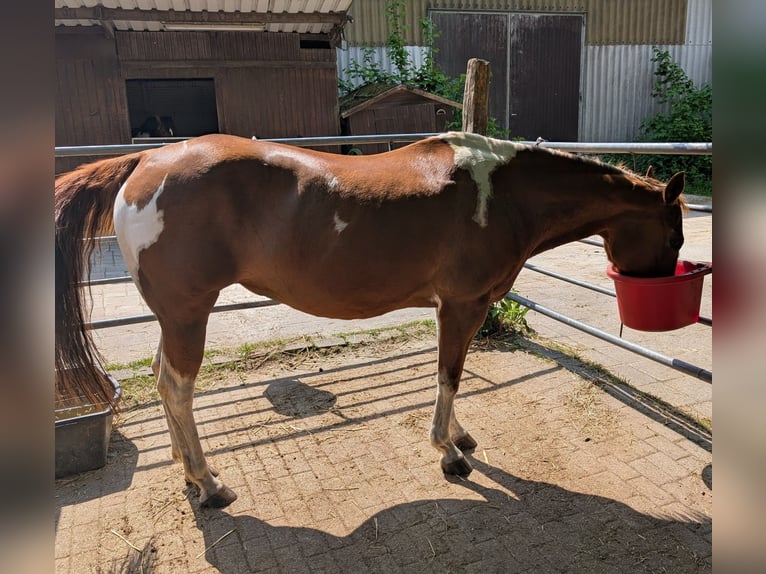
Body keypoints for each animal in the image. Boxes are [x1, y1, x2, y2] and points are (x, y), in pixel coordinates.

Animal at [55, 132, 685, 508]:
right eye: (676, 235)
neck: (504, 194)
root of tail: (146, 161)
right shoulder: (462, 304)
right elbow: (449, 376)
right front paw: (448, 453)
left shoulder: (459, 308)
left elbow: (451, 376)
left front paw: (459, 436)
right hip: (190, 312)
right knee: (178, 387)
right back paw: (209, 484)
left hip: (175, 317)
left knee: (165, 382)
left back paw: (189, 473)